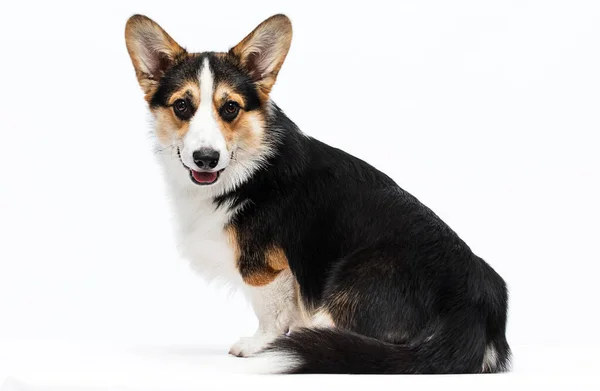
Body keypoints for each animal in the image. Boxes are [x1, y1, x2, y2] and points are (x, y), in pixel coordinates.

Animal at [124, 13, 508, 376]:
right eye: (182, 106)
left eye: (230, 108)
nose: (206, 157)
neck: (248, 167)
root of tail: (471, 312)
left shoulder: (266, 271)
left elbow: (271, 314)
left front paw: (258, 344)